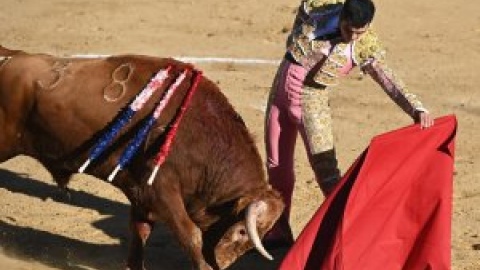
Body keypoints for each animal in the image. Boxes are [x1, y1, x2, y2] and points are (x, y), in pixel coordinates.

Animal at [0, 45, 284, 268]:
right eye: (241, 231)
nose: (221, 263)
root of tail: (11, 57)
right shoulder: (159, 190)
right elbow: (191, 235)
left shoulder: (140, 193)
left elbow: (140, 232)